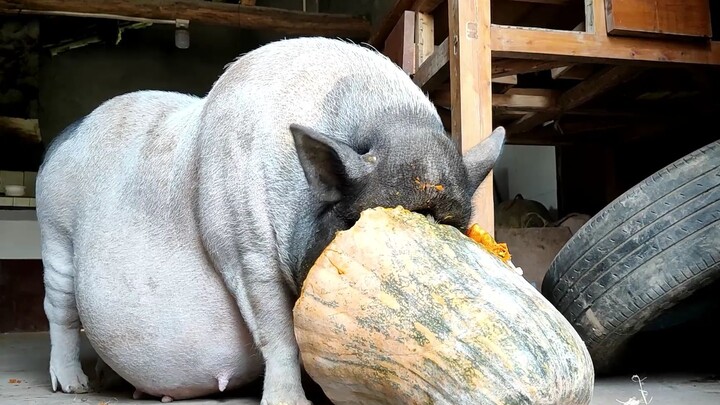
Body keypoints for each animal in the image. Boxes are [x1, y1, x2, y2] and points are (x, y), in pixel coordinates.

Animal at [35, 36, 506, 402]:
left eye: (452, 227)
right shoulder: (245, 247)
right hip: (54, 234)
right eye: (359, 219)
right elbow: (279, 335)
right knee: (59, 313)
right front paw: (288, 402)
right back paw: (74, 386)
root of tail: (64, 136)